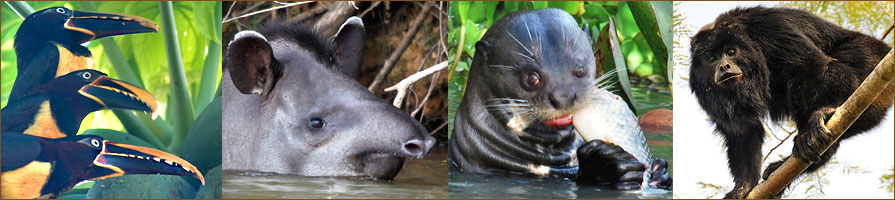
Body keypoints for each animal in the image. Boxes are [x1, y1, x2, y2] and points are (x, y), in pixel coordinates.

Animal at [688, 6, 892, 198]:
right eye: (712, 58)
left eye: (731, 51)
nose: (723, 66)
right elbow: (742, 129)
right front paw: (743, 187)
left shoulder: (773, 29)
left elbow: (813, 66)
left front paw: (823, 113)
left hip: (870, 61)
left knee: (835, 67)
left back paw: (824, 115)